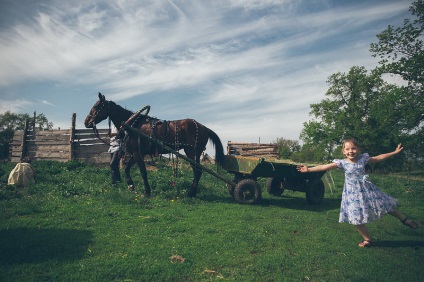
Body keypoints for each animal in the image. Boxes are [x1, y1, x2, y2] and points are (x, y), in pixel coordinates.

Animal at [83, 91, 225, 197]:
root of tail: (204, 127)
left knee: (198, 171)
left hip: (191, 152)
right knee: (197, 172)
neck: (133, 125)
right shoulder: (135, 154)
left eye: (96, 107)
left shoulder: (138, 154)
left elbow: (143, 172)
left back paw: (191, 193)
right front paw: (131, 185)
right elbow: (127, 168)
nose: (86, 122)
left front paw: (147, 191)